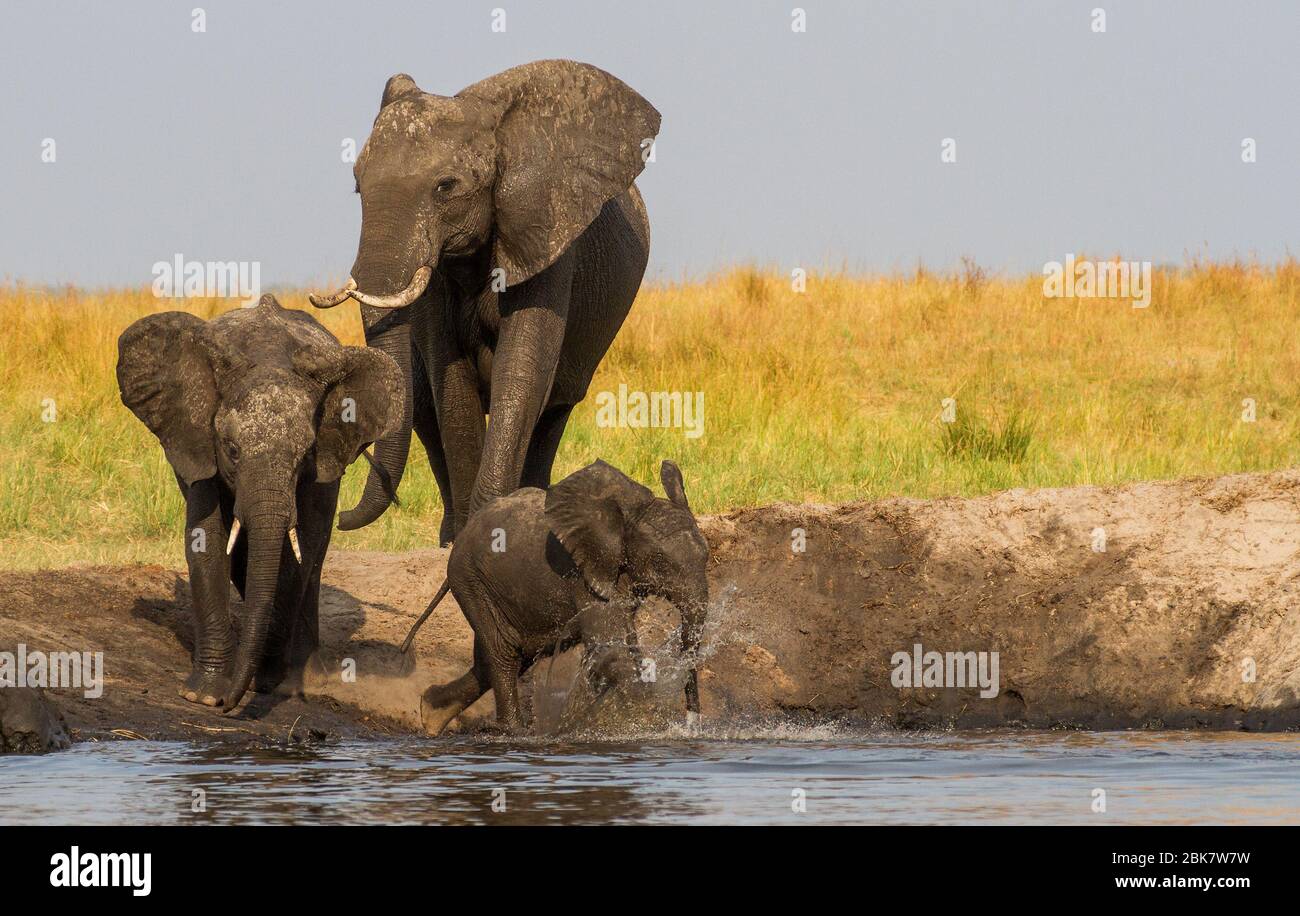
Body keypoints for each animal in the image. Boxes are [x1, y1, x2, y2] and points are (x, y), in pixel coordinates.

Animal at [116, 295, 403, 712]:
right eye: (232, 450)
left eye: (305, 454)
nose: (229, 705)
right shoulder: (200, 443)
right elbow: (206, 541)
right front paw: (204, 695)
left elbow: (302, 549)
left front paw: (270, 683)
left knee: (313, 558)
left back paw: (309, 674)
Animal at [310, 59, 661, 545]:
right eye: (358, 188)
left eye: (445, 186)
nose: (342, 518)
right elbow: (451, 381)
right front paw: (466, 539)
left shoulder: (547, 235)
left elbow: (523, 370)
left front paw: (495, 530)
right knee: (424, 410)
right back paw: (449, 533)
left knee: (553, 410)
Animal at [400, 460, 709, 736]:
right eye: (660, 562)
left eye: (705, 556)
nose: (692, 724)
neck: (624, 520)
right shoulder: (583, 574)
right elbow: (611, 649)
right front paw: (639, 725)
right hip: (470, 580)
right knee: (504, 651)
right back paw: (512, 731)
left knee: (500, 658)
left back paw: (431, 714)